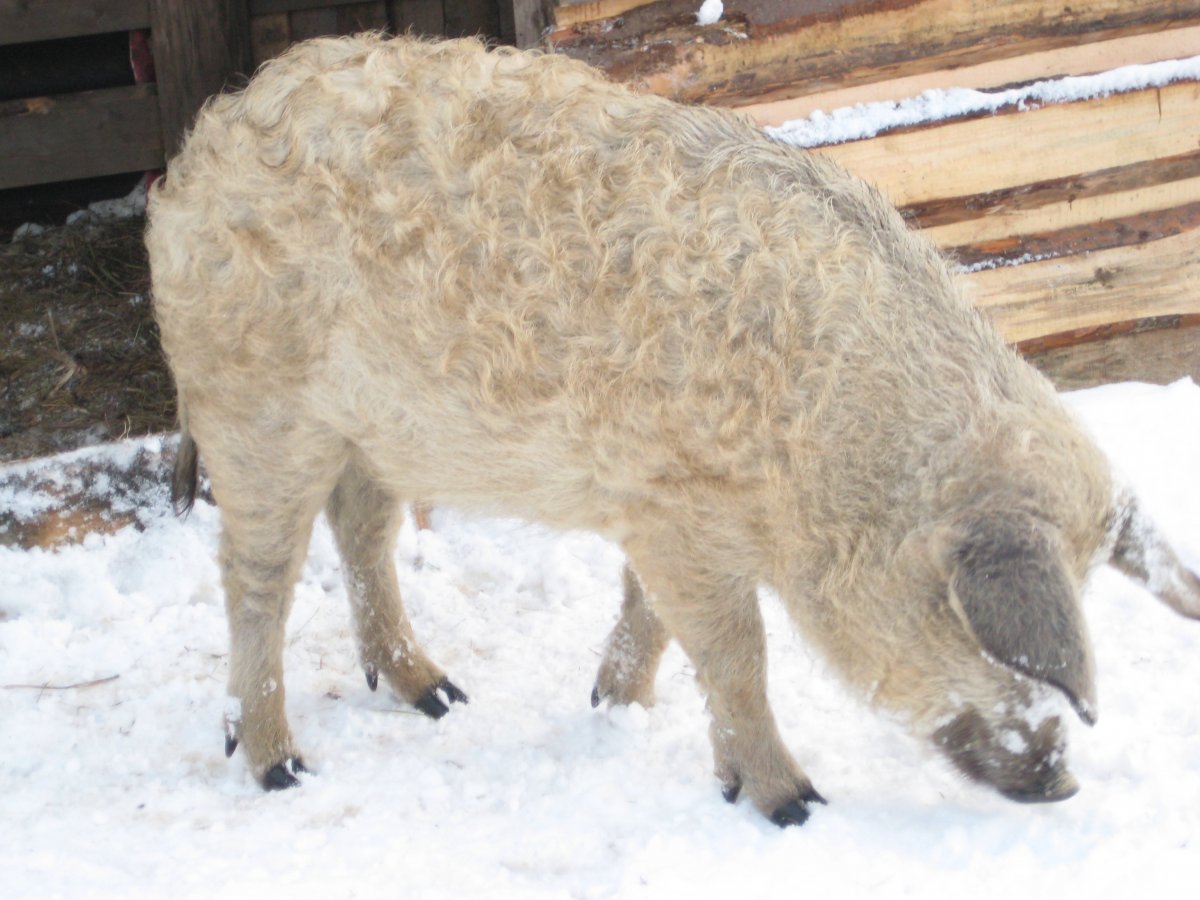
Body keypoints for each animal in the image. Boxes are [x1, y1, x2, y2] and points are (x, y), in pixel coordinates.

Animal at [145, 34, 1200, 825]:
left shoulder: (661, 510)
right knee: (257, 579)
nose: (1061, 783)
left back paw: (440, 697)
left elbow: (654, 616)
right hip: (257, 409)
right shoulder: (682, 515)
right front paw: (795, 806)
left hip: (371, 427)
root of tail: (203, 143)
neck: (827, 452)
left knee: (361, 528)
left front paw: (617, 708)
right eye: (978, 631)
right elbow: (739, 655)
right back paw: (280, 767)